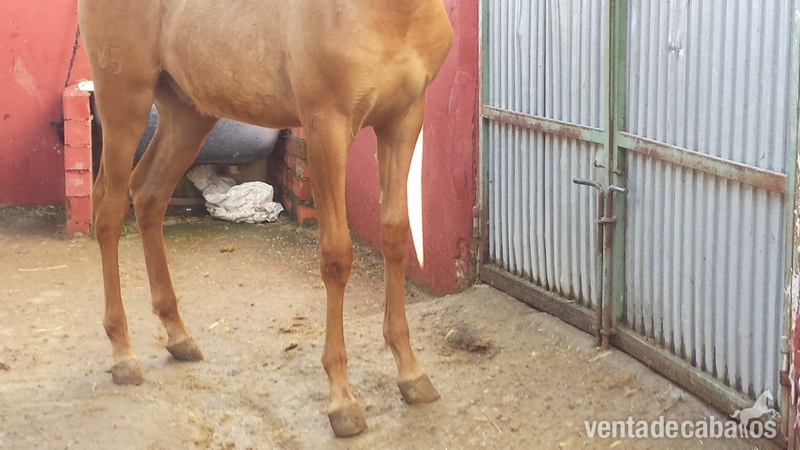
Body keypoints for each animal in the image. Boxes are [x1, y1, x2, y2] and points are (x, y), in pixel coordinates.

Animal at [77, 0, 453, 437]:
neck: (393, 15)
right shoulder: (326, 126)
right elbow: (337, 257)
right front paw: (342, 401)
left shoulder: (404, 120)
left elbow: (395, 235)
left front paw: (411, 372)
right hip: (124, 102)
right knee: (108, 211)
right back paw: (123, 354)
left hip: (187, 113)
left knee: (148, 194)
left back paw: (178, 336)